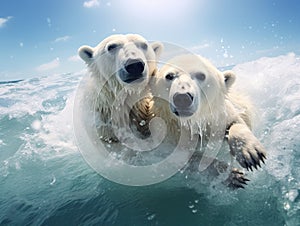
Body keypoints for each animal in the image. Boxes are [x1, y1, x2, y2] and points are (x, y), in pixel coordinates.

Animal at [151, 54, 266, 189]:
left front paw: (251, 154)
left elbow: (236, 122)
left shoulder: (218, 115)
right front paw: (232, 175)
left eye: (201, 75)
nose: (182, 98)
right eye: (169, 76)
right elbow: (183, 158)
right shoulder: (168, 132)